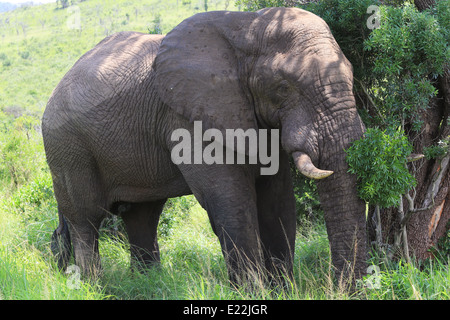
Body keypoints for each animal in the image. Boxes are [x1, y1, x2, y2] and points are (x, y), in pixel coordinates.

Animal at [41, 6, 366, 284]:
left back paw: (147, 284)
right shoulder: (188, 117)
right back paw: (92, 286)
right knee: (86, 219)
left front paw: (283, 291)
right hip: (66, 147)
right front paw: (253, 292)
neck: (247, 26)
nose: (343, 289)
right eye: (283, 87)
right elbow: (231, 202)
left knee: (141, 216)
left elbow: (278, 201)